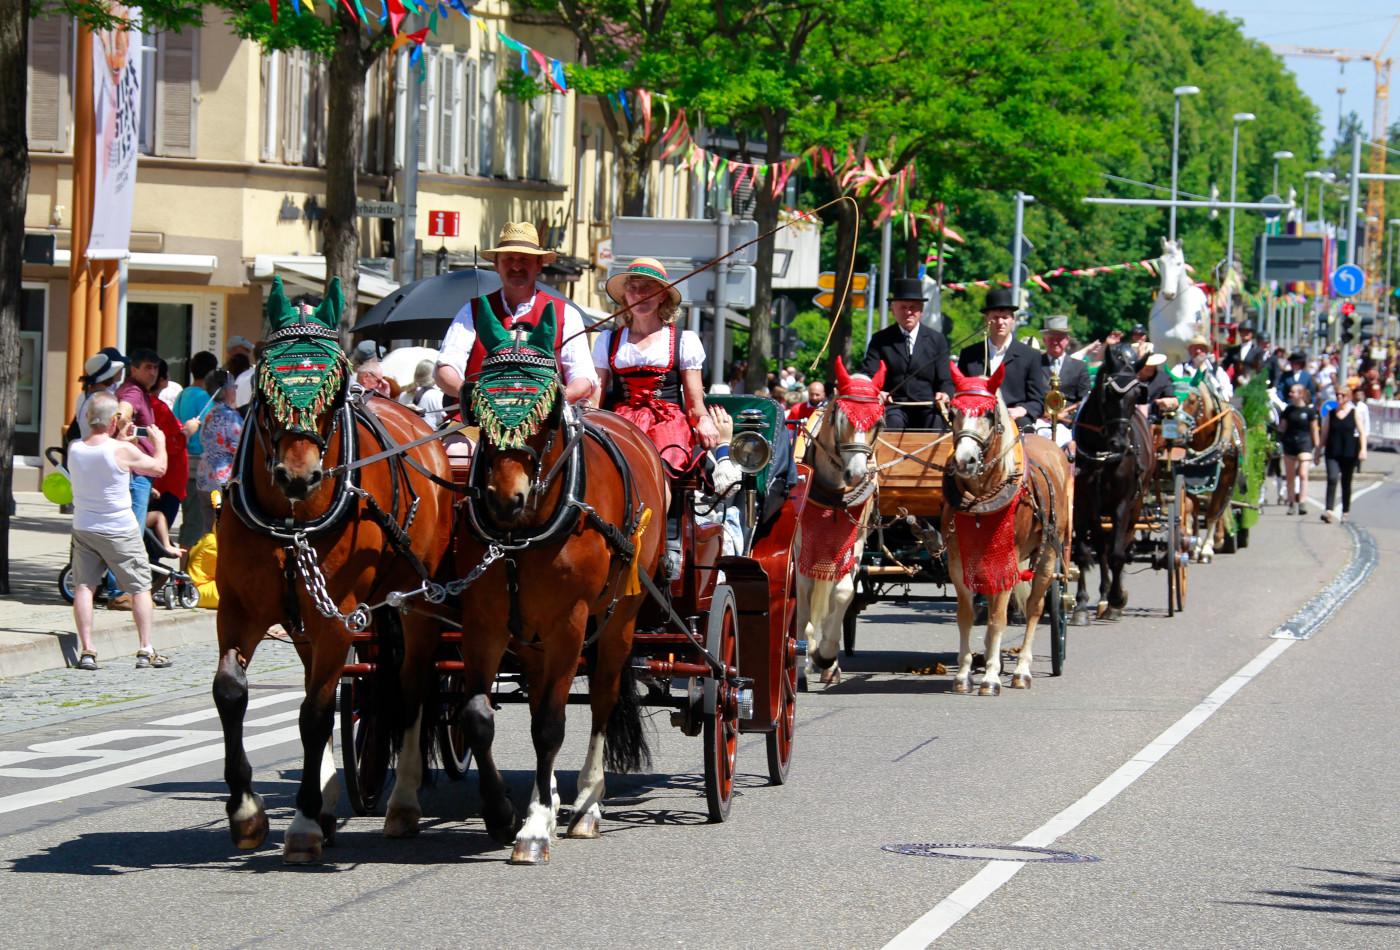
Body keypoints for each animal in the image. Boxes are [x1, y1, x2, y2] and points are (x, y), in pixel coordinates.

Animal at [214, 278, 453, 867]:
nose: (298, 476)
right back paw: (326, 802)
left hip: (417, 602)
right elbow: (232, 692)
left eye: (336, 382)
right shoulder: (240, 609)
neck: (291, 520)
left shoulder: (335, 616)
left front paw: (300, 823)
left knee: (410, 688)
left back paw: (402, 803)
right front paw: (247, 813)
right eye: (265, 382)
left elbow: (315, 714)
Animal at [428, 300, 663, 867]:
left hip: (619, 617)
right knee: (538, 696)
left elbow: (552, 724)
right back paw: (550, 797)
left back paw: (586, 805)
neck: (521, 534)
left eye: (548, 411)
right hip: (530, 635)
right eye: (478, 403)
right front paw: (501, 812)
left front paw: (533, 828)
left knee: (600, 700)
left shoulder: (569, 623)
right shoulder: (485, 621)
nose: (504, 499)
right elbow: (478, 715)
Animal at [795, 360, 879, 688]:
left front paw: (826, 657)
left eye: (878, 420)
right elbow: (803, 593)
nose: (856, 473)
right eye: (841, 416)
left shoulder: (855, 540)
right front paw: (803, 657)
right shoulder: (803, 543)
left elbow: (843, 592)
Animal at [940, 360, 1069, 693]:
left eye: (988, 414)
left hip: (1049, 553)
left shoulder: (1006, 562)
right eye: (953, 411)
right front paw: (964, 674)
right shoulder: (958, 562)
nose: (965, 460)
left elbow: (998, 618)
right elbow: (966, 615)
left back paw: (1022, 670)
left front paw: (990, 677)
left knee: (1036, 606)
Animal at [1153, 236, 1209, 366]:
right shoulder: (1161, 352)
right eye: (1160, 262)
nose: (1168, 294)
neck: (1174, 319)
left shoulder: (1186, 353)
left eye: (1179, 263)